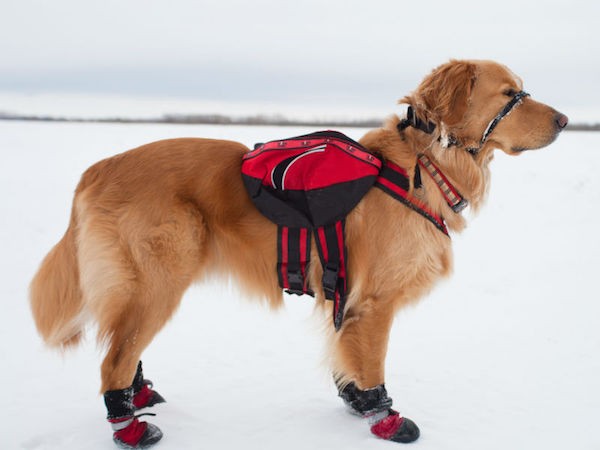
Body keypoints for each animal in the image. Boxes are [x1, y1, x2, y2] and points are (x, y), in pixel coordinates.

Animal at [29, 59, 568, 446]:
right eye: (509, 94)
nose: (565, 120)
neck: (423, 166)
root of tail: (96, 169)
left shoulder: (345, 298)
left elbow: (346, 359)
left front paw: (356, 402)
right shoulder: (374, 303)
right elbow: (374, 364)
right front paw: (385, 419)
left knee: (123, 348)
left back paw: (142, 395)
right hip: (159, 280)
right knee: (112, 359)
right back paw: (131, 427)